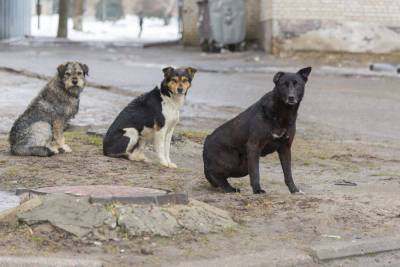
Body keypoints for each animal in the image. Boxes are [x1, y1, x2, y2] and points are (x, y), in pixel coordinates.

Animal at [203, 67, 312, 195]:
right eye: (283, 85)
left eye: (297, 84)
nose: (291, 97)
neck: (282, 114)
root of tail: (206, 143)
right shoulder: (254, 146)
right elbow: (255, 172)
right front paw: (257, 190)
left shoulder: (285, 147)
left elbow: (288, 173)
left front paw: (294, 190)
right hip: (234, 162)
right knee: (214, 173)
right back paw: (229, 188)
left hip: (243, 167)